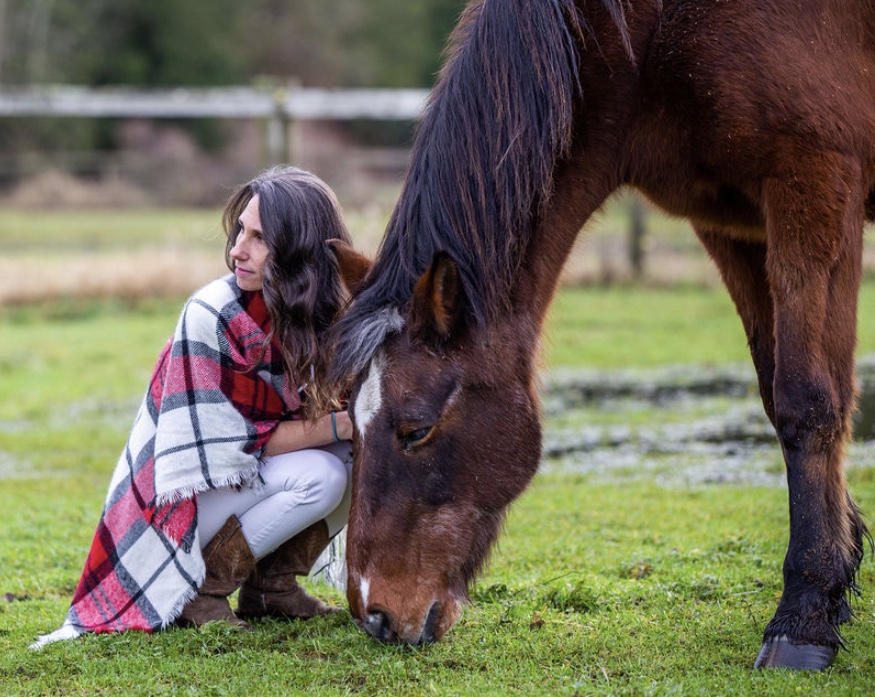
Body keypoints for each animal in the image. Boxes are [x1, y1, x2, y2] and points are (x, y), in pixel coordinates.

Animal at [330, 0, 875, 668]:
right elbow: (779, 399)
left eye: (415, 429)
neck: (652, 40)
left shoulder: (815, 181)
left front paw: (803, 616)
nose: (373, 614)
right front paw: (834, 583)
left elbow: (808, 402)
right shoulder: (735, 225)